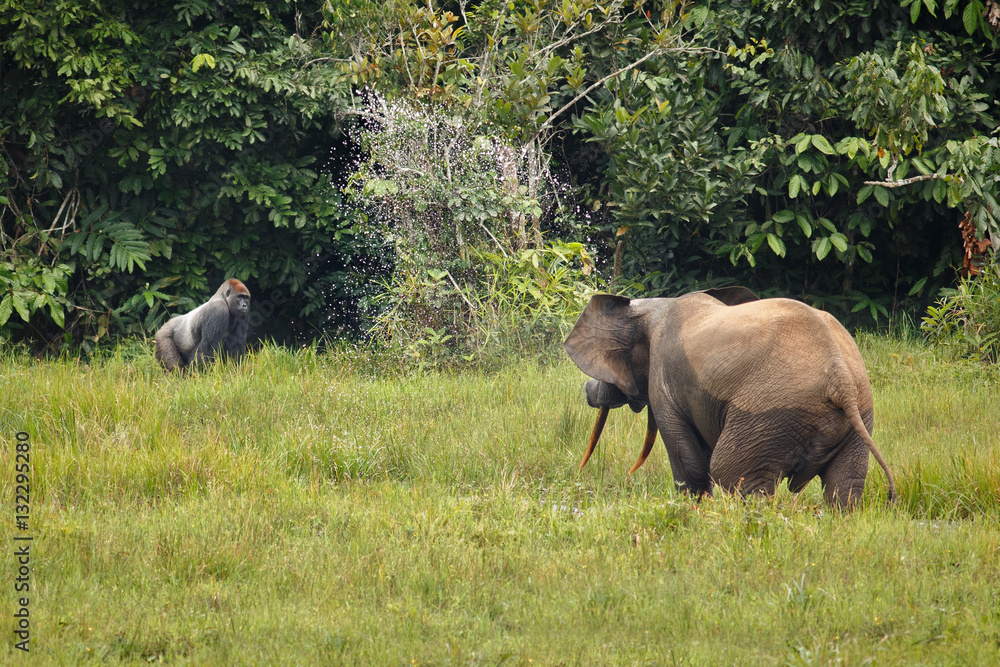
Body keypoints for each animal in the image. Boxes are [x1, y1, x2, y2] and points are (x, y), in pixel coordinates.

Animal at [564, 287, 896, 507]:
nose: (588, 391)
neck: (654, 306)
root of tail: (840, 377)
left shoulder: (663, 381)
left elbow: (689, 460)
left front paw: (693, 511)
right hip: (859, 412)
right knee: (846, 484)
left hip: (770, 412)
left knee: (735, 473)